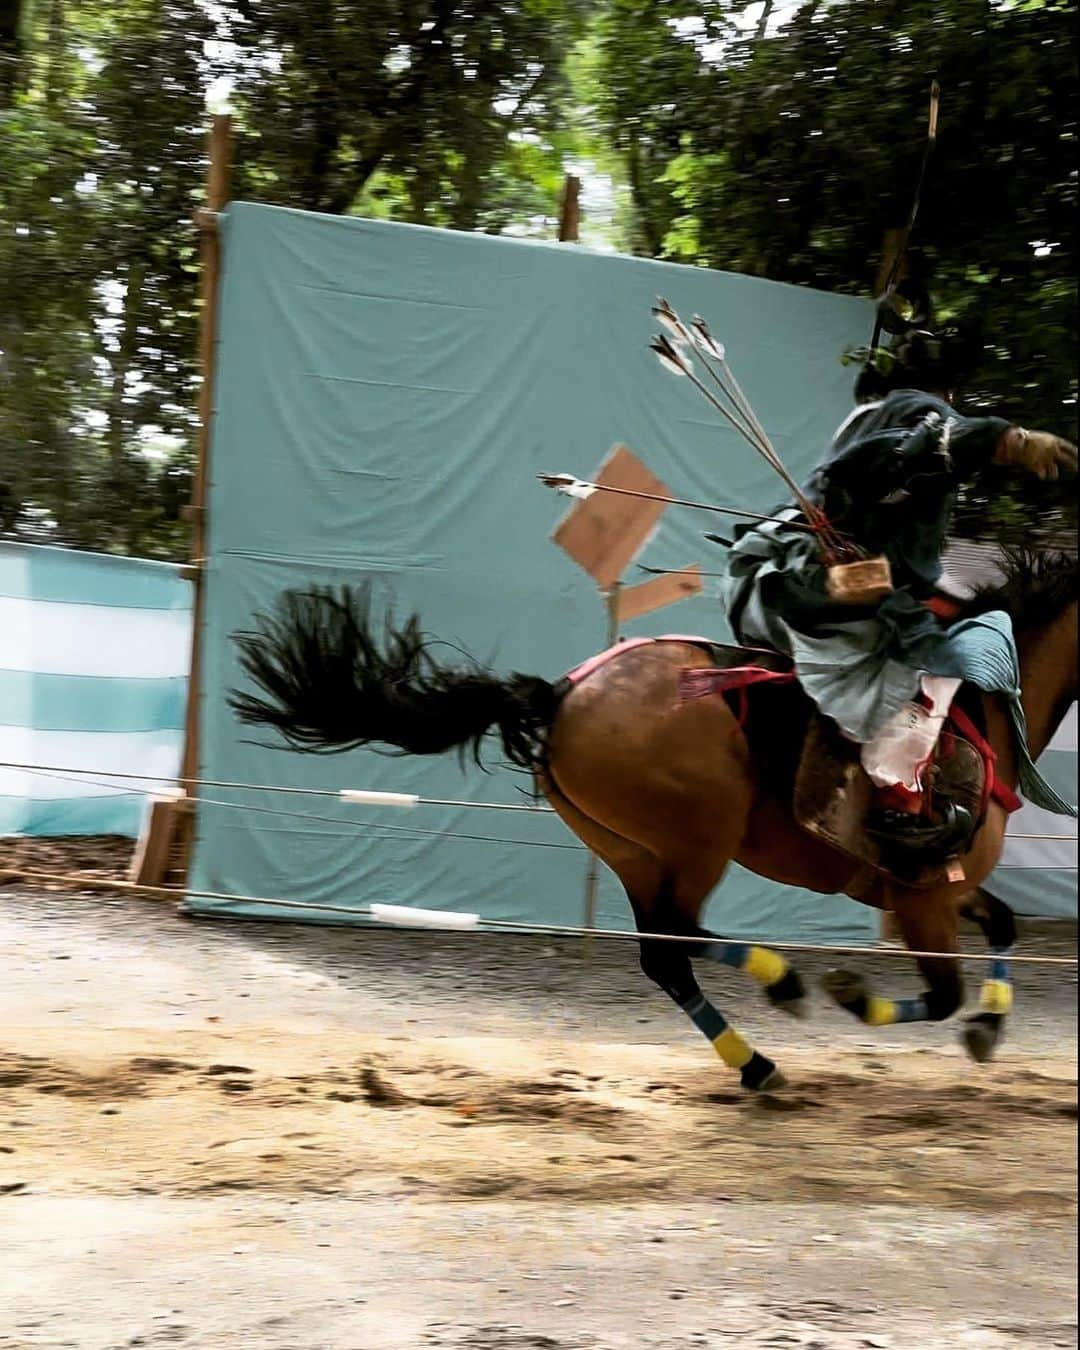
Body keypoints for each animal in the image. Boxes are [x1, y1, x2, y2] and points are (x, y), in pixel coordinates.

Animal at [228, 548, 1069, 1085]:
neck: (980, 703)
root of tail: (561, 696)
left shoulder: (939, 888)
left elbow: (1002, 924)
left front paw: (989, 1028)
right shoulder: (923, 895)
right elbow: (944, 990)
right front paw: (858, 995)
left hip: (631, 848)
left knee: (665, 952)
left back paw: (755, 1059)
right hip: (699, 837)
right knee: (675, 938)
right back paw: (781, 994)